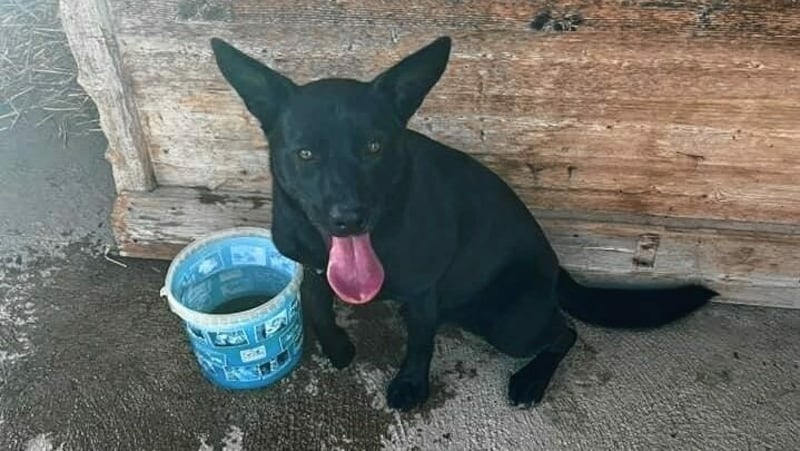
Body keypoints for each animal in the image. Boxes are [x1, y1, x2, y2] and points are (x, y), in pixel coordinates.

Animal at [209, 37, 716, 412]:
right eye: (305, 153)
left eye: (374, 146)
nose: (348, 219)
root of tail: (557, 270)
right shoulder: (311, 264)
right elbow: (317, 306)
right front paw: (336, 347)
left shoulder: (422, 289)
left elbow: (420, 344)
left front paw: (411, 385)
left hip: (511, 323)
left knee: (565, 332)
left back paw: (531, 381)